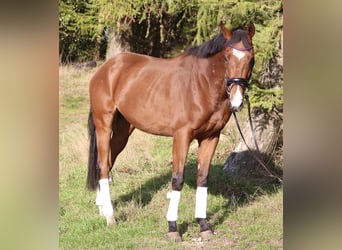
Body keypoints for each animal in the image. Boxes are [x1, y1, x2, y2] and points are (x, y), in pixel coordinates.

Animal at [87, 22, 255, 242]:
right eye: (226, 57)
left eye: (251, 58)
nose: (236, 101)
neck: (201, 84)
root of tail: (106, 68)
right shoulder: (182, 137)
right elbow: (177, 179)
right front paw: (173, 228)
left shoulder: (211, 137)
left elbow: (203, 178)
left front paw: (203, 226)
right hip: (104, 126)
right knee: (104, 167)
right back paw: (110, 217)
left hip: (123, 131)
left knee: (105, 164)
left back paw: (101, 208)